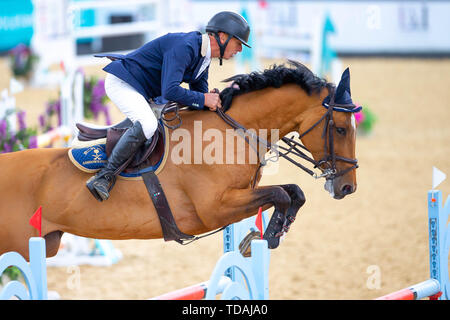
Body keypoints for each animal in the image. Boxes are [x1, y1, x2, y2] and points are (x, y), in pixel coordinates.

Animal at [0, 60, 358, 260]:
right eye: (340, 128)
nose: (348, 187)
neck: (231, 130)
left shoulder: (240, 195)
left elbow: (293, 192)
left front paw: (270, 233)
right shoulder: (214, 208)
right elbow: (282, 194)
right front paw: (261, 238)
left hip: (44, 244)